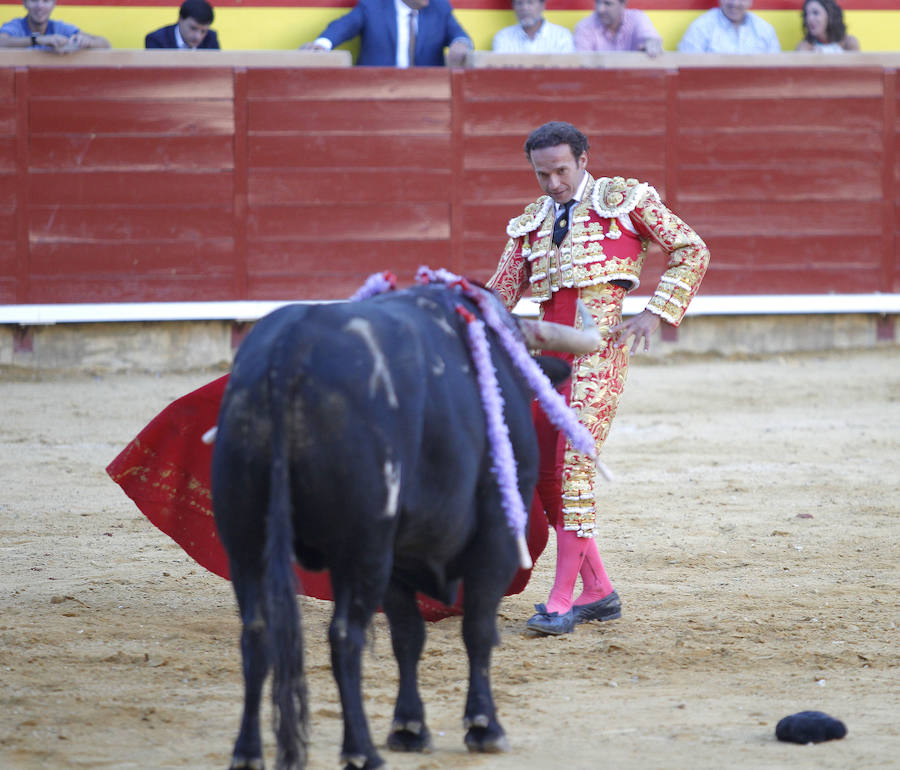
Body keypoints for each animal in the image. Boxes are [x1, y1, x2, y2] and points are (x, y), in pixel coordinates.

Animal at [211, 280, 596, 768]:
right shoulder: (493, 540)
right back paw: (361, 750)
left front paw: (409, 727)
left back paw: (247, 752)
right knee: (345, 636)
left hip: (246, 543)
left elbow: (407, 637)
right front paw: (483, 726)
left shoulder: (399, 561)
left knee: (257, 632)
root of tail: (288, 351)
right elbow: (476, 629)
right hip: (363, 548)